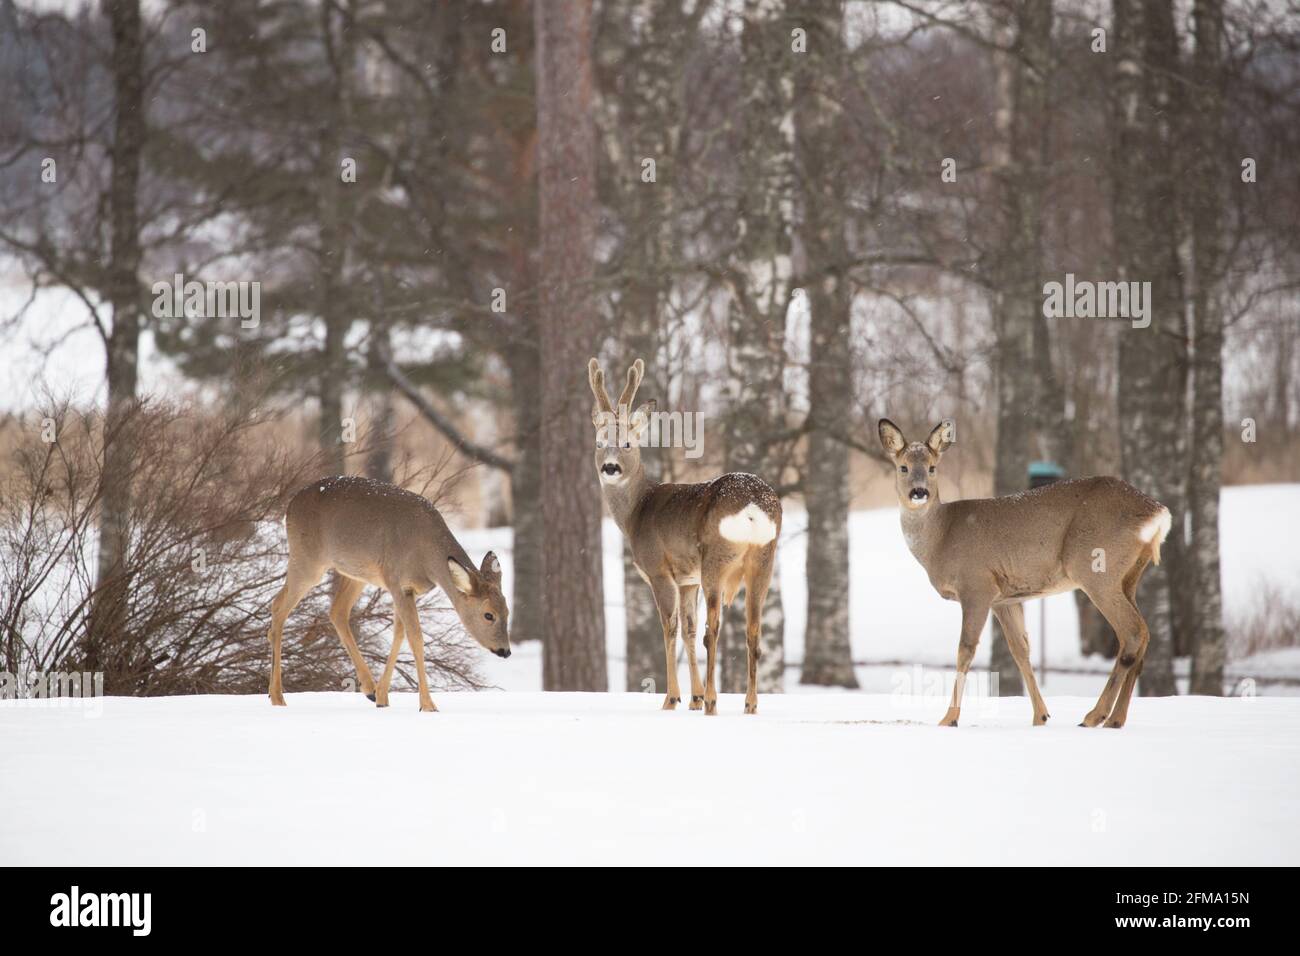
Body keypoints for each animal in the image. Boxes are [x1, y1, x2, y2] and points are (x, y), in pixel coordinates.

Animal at [266, 476, 509, 712]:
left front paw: (383, 696)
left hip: (356, 573)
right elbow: (415, 638)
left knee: (337, 611)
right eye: (488, 615)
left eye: (507, 611)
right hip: (308, 560)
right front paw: (428, 705)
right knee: (278, 606)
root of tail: (290, 506)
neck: (426, 558)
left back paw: (369, 689)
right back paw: (277, 696)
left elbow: (399, 635)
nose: (505, 651)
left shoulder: (405, 589)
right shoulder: (397, 581)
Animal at [592, 361, 780, 717]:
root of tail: (752, 506)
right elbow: (689, 630)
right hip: (764, 557)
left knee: (714, 627)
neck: (637, 511)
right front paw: (693, 698)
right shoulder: (687, 579)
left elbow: (670, 628)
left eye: (627, 444)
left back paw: (713, 702)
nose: (609, 467)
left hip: (716, 558)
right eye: (598, 443)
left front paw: (673, 698)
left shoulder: (659, 570)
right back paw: (749, 704)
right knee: (752, 627)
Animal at [878, 421, 1175, 733]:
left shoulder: (977, 586)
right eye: (903, 467)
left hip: (1096, 569)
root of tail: (1158, 513)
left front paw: (949, 718)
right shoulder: (1005, 599)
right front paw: (1040, 716)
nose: (919, 492)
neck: (941, 537)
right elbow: (1021, 650)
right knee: (1144, 634)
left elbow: (965, 650)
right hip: (1129, 576)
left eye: (932, 467)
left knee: (1132, 632)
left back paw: (1095, 716)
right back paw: (1115, 719)